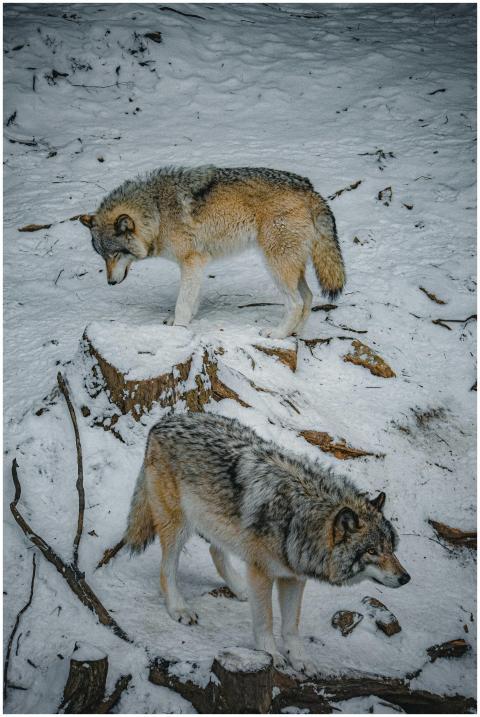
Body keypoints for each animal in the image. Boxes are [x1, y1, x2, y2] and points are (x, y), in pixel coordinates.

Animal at [79, 166, 345, 339]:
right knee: (309, 297)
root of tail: (310, 189)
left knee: (296, 303)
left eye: (115, 254)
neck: (156, 211)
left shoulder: (191, 261)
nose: (110, 283)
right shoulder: (197, 263)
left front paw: (178, 330)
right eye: (102, 256)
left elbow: (183, 303)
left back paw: (277, 334)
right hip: (291, 266)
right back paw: (295, 333)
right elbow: (192, 299)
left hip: (276, 265)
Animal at [125, 413, 410, 673]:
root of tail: (163, 420)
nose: (405, 578)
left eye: (391, 548)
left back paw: (240, 589)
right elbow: (266, 621)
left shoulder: (294, 577)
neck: (299, 517)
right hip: (180, 525)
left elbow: (292, 625)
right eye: (372, 551)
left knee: (215, 551)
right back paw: (179, 608)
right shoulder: (262, 573)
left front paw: (300, 660)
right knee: (167, 569)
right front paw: (271, 655)